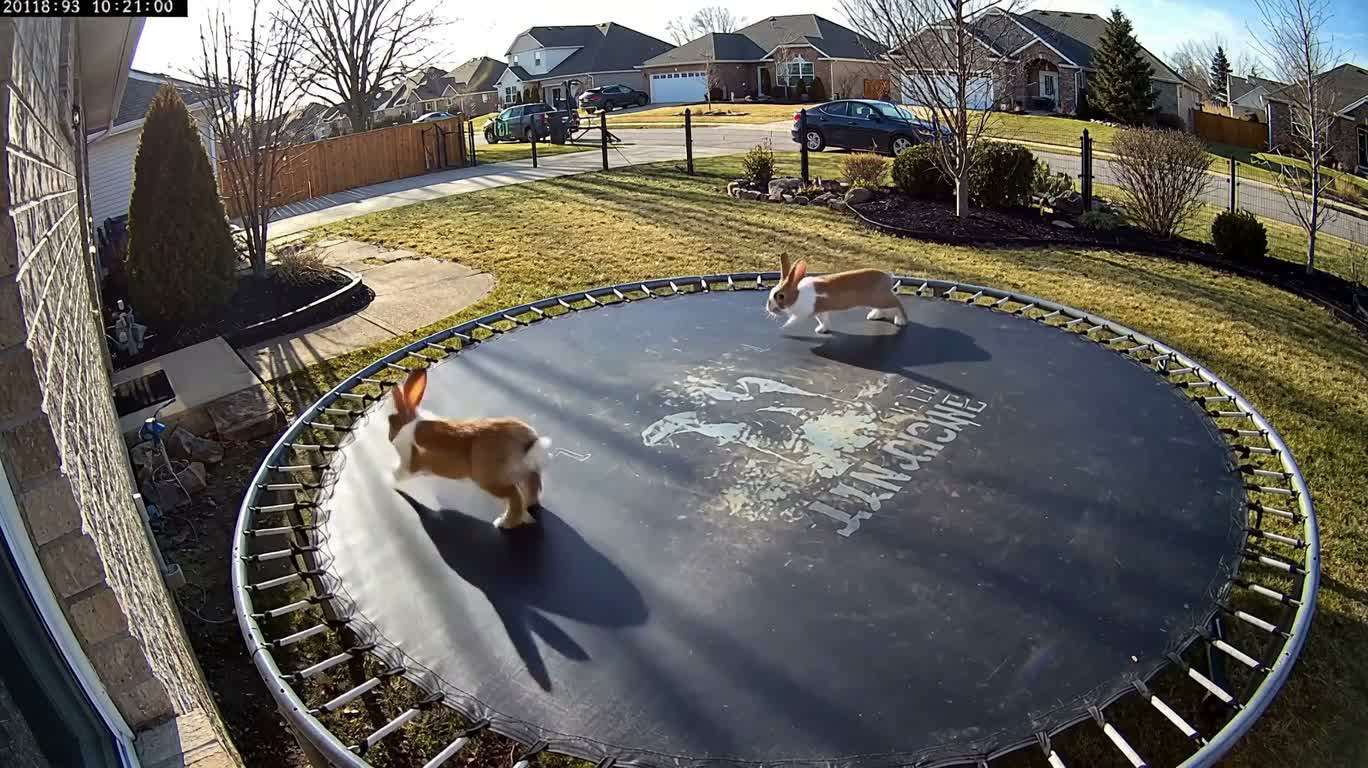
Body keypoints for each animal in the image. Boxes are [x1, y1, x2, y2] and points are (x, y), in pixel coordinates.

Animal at [388, 368, 552, 529]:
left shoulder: (409, 464)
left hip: (489, 479)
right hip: (524, 473)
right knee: (531, 490)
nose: (389, 438)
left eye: (391, 421)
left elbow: (399, 473)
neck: (409, 423)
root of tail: (529, 441)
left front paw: (390, 479)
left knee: (515, 497)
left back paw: (502, 523)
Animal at [765, 255, 907, 334]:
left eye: (780, 296)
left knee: (898, 304)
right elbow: (823, 321)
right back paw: (874, 316)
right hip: (877, 300)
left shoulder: (808, 312)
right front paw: (822, 330)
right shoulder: (821, 311)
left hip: (881, 299)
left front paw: (785, 327)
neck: (797, 294)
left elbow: (794, 321)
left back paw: (900, 321)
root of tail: (888, 278)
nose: (769, 308)